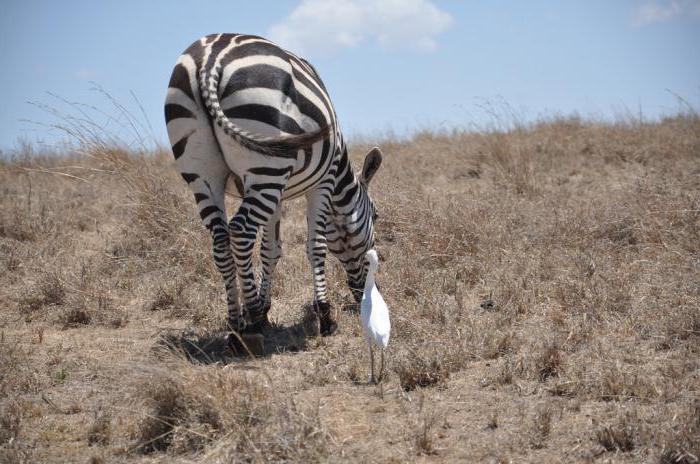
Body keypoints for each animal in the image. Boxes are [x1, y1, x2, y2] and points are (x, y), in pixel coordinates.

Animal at [164, 33, 382, 338]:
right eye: (376, 215)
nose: (363, 294)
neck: (340, 167)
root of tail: (210, 58)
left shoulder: (276, 192)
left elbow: (271, 250)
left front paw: (266, 307)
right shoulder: (322, 182)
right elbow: (316, 245)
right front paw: (324, 315)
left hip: (205, 173)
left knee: (221, 241)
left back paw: (237, 324)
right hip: (265, 162)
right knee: (240, 232)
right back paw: (252, 318)